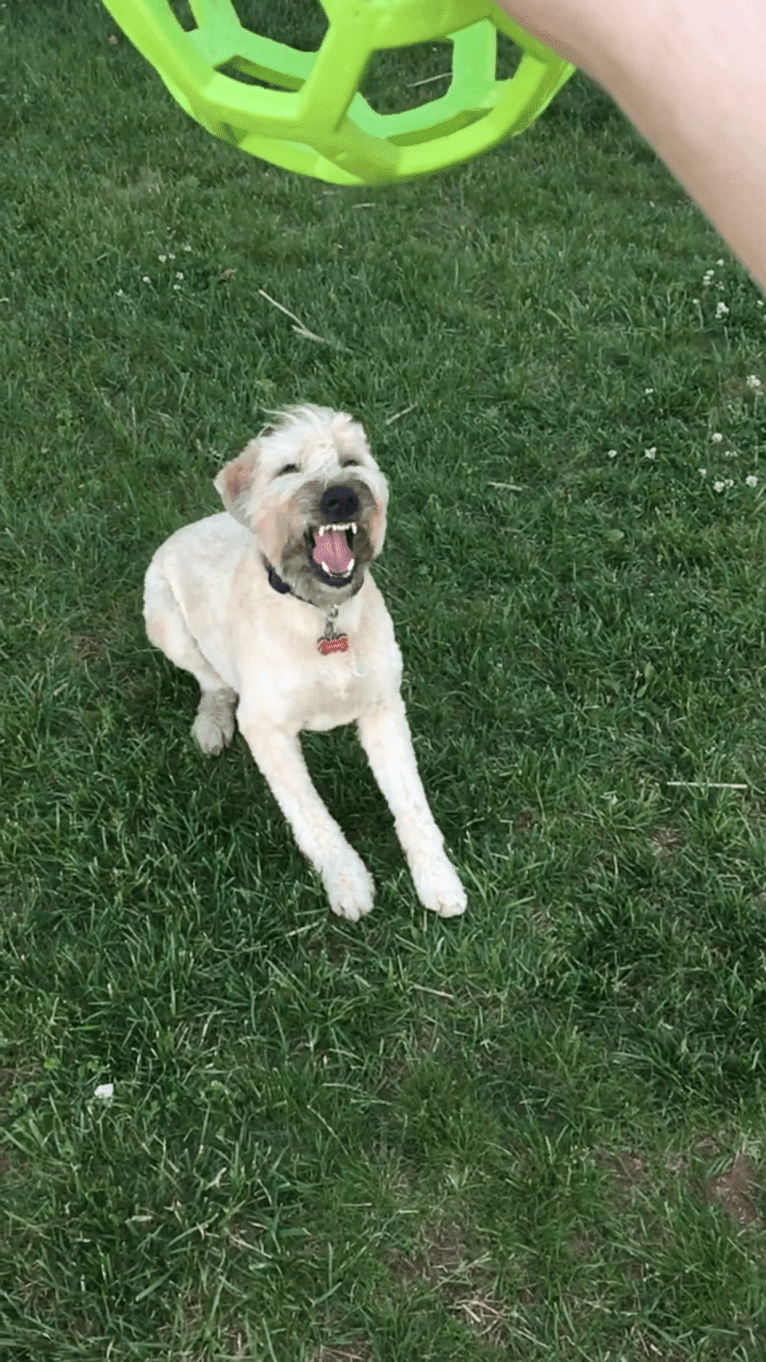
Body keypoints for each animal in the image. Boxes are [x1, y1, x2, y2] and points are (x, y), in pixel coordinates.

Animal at [143, 397, 466, 920]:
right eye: (289, 468)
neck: (320, 615)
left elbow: (412, 803)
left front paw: (437, 878)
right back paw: (212, 722)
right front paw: (348, 880)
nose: (341, 498)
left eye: (351, 461)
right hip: (164, 619)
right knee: (213, 682)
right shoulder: (266, 728)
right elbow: (311, 813)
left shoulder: (383, 706)